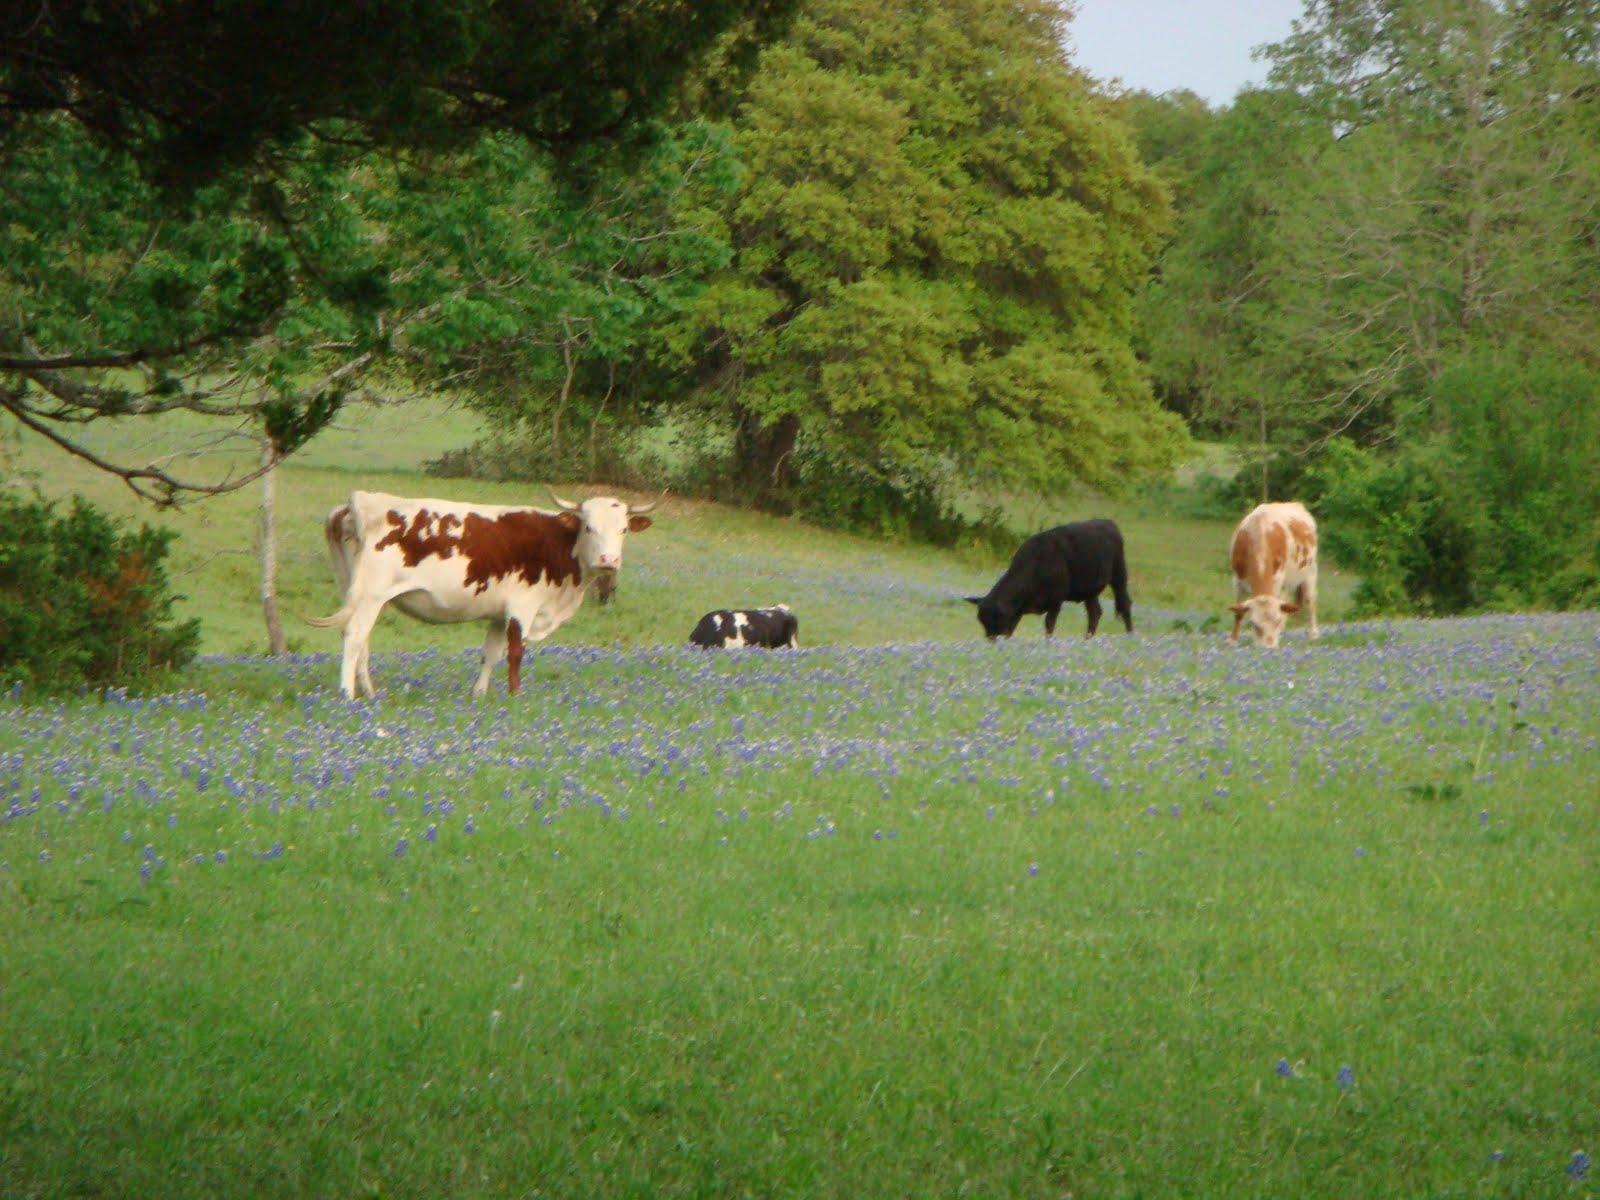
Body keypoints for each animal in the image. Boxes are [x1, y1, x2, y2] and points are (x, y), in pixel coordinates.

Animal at [306, 490, 656, 698]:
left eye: (623, 529)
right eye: (589, 527)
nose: (608, 560)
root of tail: (361, 501)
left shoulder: (499, 614)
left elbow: (491, 653)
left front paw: (480, 693)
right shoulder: (522, 607)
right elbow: (515, 653)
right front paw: (515, 695)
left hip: (352, 590)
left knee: (360, 639)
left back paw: (368, 691)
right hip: (371, 595)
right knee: (354, 636)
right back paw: (348, 694)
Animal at [965, 519, 1133, 640]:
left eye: (996, 619)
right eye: (982, 621)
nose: (991, 640)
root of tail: (1108, 523)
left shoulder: (1056, 600)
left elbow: (1049, 623)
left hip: (1119, 576)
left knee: (1124, 603)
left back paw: (1130, 634)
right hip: (1089, 591)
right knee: (1095, 612)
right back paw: (1088, 638)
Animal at [1228, 500, 1319, 648]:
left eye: (1276, 622)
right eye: (1254, 624)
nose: (1269, 648)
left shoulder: (1276, 579)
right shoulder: (1237, 579)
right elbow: (1238, 611)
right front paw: (1232, 640)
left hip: (1310, 571)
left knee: (1310, 600)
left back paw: (1313, 634)